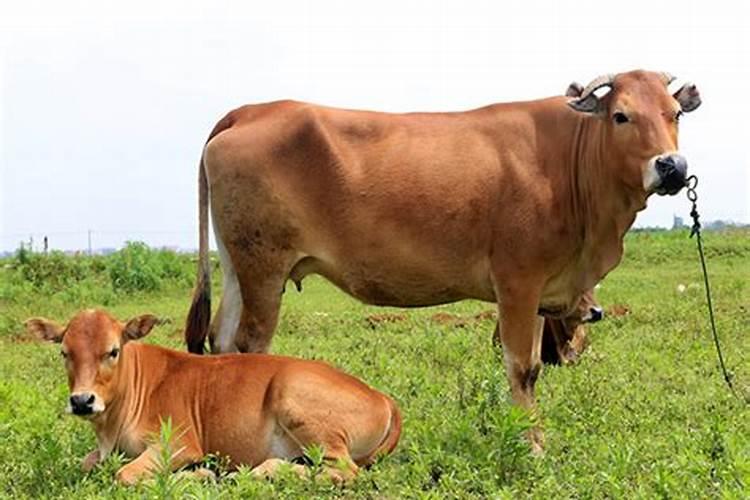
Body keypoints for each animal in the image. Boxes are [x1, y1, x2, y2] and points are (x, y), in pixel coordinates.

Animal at [25, 308, 400, 484]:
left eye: (113, 351)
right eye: (64, 352)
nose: (82, 401)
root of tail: (383, 397)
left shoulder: (179, 444)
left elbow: (125, 474)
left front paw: (201, 475)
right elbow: (86, 463)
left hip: (298, 402)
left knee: (345, 471)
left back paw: (259, 472)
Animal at [185, 69, 704, 450]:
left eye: (675, 112)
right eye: (620, 115)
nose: (671, 166)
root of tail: (251, 111)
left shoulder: (541, 289)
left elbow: (532, 367)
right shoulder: (517, 282)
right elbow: (522, 368)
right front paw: (531, 444)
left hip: (238, 267)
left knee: (222, 340)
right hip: (263, 269)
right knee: (250, 344)